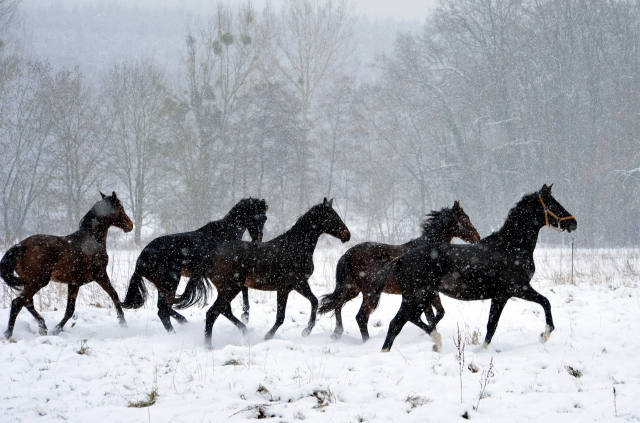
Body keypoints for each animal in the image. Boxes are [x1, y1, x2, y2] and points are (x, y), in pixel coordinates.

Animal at [0, 192, 134, 338]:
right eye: (120, 207)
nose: (130, 225)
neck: (91, 240)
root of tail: (21, 245)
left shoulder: (74, 283)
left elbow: (70, 309)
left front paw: (57, 329)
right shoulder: (100, 274)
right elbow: (114, 294)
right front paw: (123, 322)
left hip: (30, 282)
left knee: (28, 303)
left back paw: (43, 327)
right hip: (37, 282)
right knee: (18, 303)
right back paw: (8, 333)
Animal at [120, 197, 268, 332]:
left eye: (265, 218)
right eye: (259, 216)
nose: (258, 239)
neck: (225, 234)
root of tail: (140, 260)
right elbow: (244, 290)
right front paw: (246, 315)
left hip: (163, 286)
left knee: (165, 308)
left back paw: (183, 322)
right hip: (170, 282)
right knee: (163, 310)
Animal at [176, 199, 350, 352]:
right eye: (332, 216)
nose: (347, 235)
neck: (295, 247)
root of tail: (213, 254)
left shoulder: (284, 289)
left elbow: (281, 316)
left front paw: (268, 336)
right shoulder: (299, 283)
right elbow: (314, 301)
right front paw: (306, 331)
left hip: (227, 290)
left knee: (223, 311)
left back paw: (244, 331)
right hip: (231, 289)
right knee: (212, 313)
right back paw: (209, 346)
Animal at [318, 200, 478, 342]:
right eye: (465, 218)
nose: (477, 236)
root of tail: (348, 254)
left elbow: (435, 314)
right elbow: (434, 315)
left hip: (352, 290)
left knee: (337, 305)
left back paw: (337, 333)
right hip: (369, 294)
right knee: (361, 317)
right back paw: (366, 342)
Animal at [370, 184, 576, 352]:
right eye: (553, 205)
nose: (573, 222)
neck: (510, 248)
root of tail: (401, 259)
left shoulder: (501, 296)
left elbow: (491, 326)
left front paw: (482, 350)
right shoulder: (518, 288)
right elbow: (545, 302)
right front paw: (545, 335)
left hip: (423, 296)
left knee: (408, 319)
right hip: (417, 295)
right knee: (397, 323)